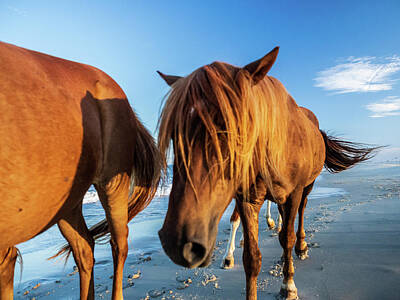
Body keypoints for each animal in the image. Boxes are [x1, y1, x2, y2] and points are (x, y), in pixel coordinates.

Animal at [156, 47, 376, 300]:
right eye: (175, 133)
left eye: (237, 129)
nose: (179, 243)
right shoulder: (246, 198)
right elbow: (252, 257)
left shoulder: (294, 192)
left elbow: (287, 236)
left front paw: (288, 286)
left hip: (306, 188)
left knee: (300, 215)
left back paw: (300, 247)